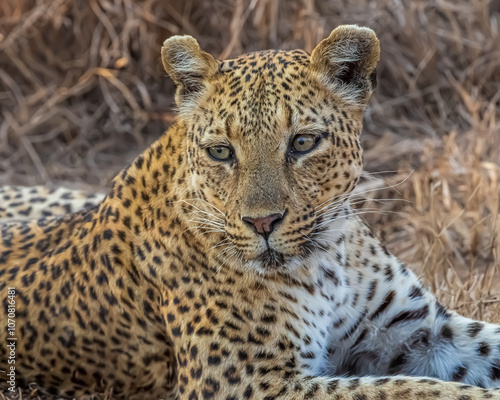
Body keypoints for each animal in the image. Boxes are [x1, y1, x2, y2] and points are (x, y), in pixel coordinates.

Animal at [0, 25, 500, 400]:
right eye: (221, 151)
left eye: (303, 142)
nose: (262, 223)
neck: (328, 258)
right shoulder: (251, 383)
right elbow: (411, 389)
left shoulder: (420, 331)